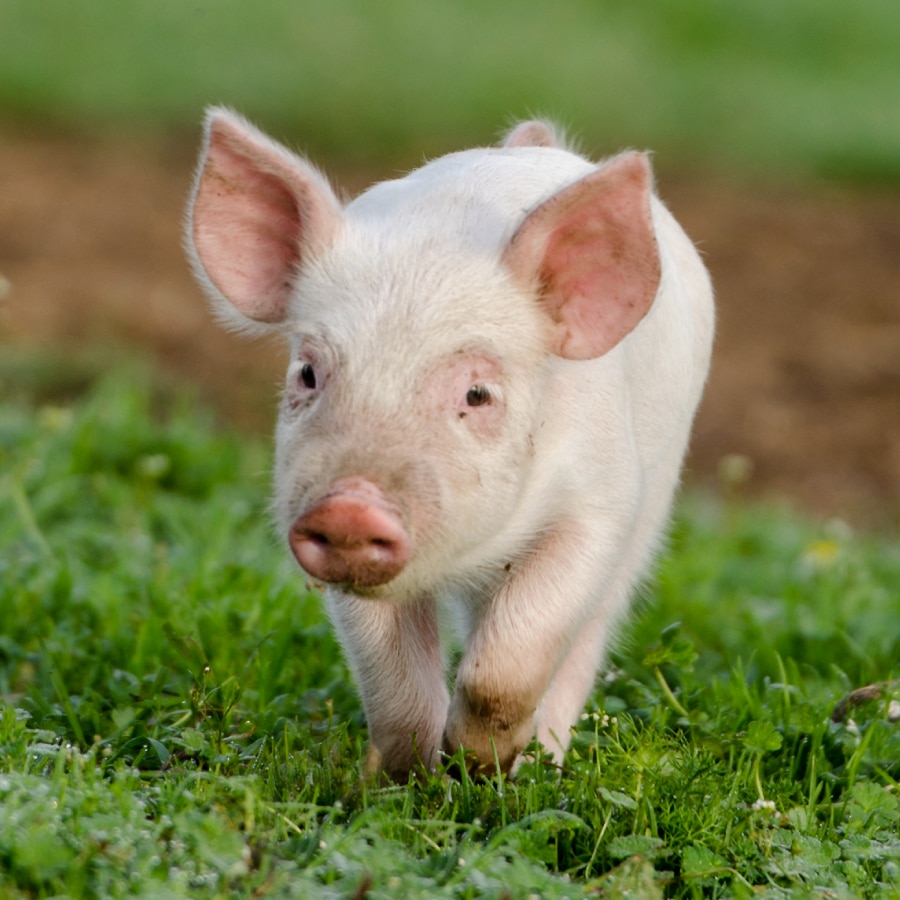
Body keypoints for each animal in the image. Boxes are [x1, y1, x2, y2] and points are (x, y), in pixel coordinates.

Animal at [185, 108, 714, 779]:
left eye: (477, 394)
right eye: (307, 373)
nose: (350, 505)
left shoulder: (600, 505)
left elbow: (514, 657)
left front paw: (479, 766)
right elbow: (392, 678)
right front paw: (406, 774)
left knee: (588, 634)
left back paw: (546, 761)